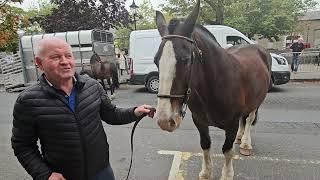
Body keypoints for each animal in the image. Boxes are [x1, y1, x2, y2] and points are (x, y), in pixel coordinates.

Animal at [154, 0, 272, 180]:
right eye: (156, 61)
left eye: (186, 59)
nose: (164, 120)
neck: (212, 88)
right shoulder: (199, 121)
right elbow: (205, 145)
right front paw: (206, 172)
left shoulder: (231, 124)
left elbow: (227, 150)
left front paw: (227, 174)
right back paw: (239, 138)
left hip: (257, 100)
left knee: (249, 118)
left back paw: (245, 143)